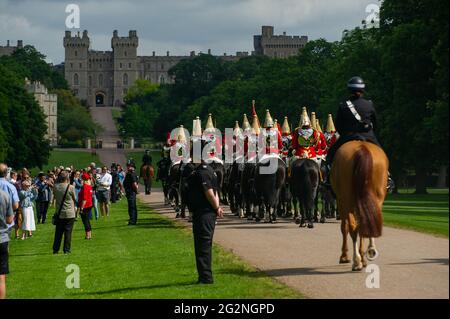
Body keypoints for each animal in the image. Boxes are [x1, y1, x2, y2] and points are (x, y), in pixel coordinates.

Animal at [330, 141, 390, 272]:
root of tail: (362, 148)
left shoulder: (341, 203)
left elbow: (344, 228)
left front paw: (345, 256)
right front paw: (365, 256)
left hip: (346, 202)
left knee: (352, 227)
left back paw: (356, 261)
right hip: (377, 199)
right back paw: (366, 254)